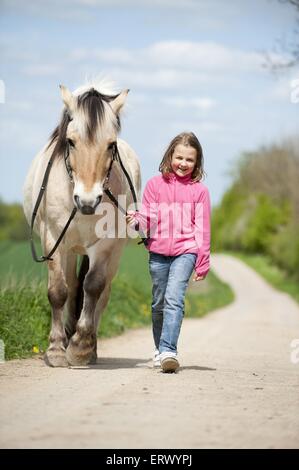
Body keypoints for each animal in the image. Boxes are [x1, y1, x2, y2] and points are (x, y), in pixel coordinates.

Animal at [22, 81, 142, 368]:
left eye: (111, 145)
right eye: (71, 141)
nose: (87, 201)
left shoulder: (106, 243)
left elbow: (94, 286)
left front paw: (81, 347)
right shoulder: (53, 239)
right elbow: (58, 291)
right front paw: (56, 349)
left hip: (113, 254)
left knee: (101, 293)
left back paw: (91, 347)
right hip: (68, 250)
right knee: (70, 286)